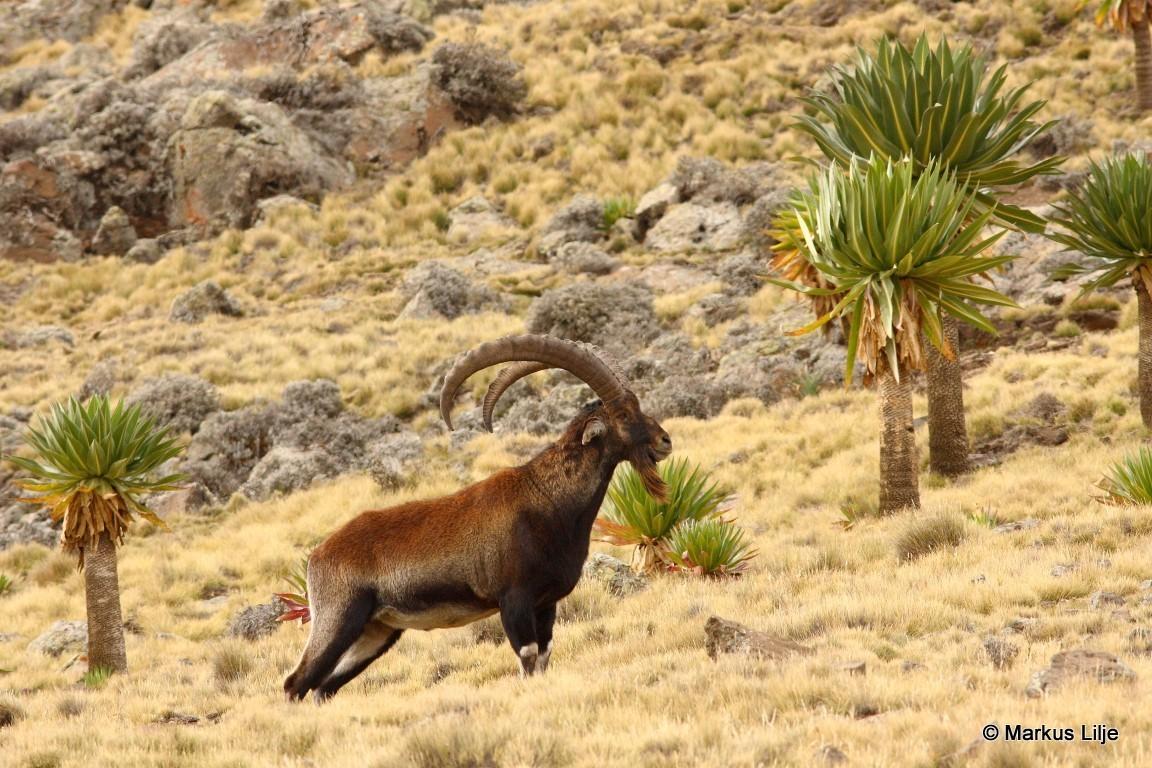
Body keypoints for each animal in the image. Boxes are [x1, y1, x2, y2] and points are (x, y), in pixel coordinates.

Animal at [283, 335, 672, 701]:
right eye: (623, 416)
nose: (665, 441)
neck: (548, 499)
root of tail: (318, 556)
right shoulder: (514, 599)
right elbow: (528, 656)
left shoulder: (546, 603)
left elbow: (544, 655)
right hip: (339, 619)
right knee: (296, 683)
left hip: (376, 632)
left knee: (322, 687)